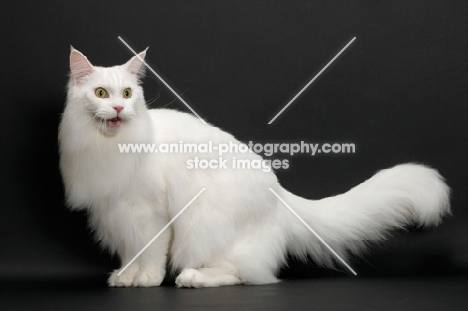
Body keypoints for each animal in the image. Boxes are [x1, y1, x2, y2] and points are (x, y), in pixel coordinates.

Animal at [58, 47, 450, 288]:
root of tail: (280, 195)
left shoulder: (152, 213)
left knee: (248, 273)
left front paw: (149, 279)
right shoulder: (115, 212)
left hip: (205, 224)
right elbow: (131, 251)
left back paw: (193, 278)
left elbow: (152, 253)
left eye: (127, 94)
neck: (108, 149)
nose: (119, 110)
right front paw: (126, 276)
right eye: (101, 94)